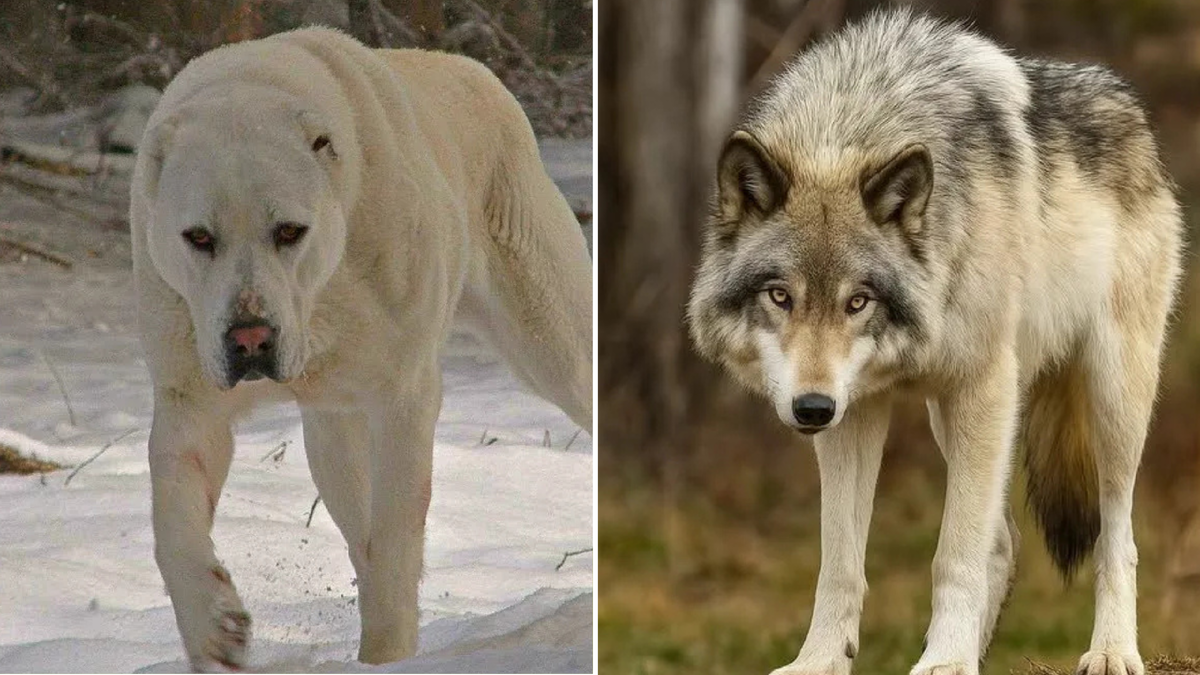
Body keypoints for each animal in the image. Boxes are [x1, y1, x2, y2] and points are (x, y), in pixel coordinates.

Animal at [131, 28, 592, 670]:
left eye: (289, 231)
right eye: (198, 238)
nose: (250, 338)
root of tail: (474, 72)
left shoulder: (403, 397)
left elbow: (396, 532)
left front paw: (389, 653)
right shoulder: (190, 396)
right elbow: (172, 519)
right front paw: (214, 627)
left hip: (554, 338)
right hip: (333, 436)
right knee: (355, 523)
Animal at [687, 9, 1182, 675]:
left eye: (858, 301)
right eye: (780, 296)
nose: (811, 408)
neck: (853, 123)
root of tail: (1130, 105)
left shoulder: (982, 385)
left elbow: (953, 554)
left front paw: (946, 659)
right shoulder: (856, 412)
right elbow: (839, 562)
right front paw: (822, 659)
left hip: (1108, 397)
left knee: (1115, 536)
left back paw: (1110, 651)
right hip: (955, 418)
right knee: (1004, 541)